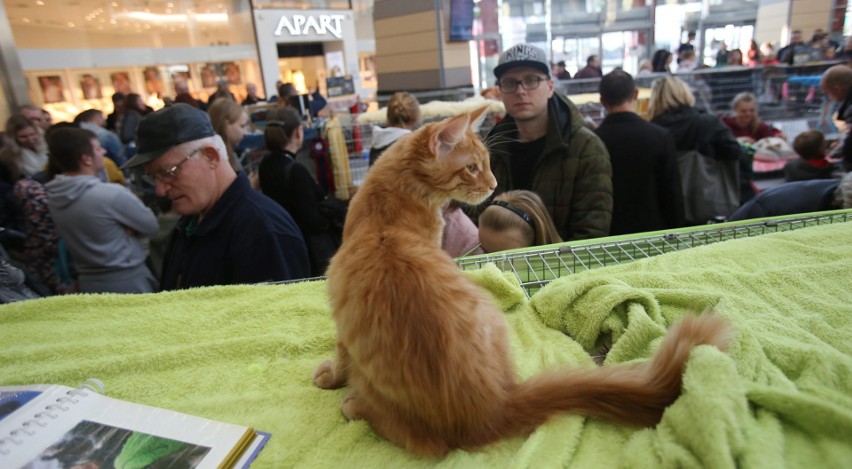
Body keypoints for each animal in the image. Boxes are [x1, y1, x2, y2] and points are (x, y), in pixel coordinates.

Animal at [314, 104, 732, 456]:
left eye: (487, 165)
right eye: (472, 168)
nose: (493, 184)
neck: (387, 218)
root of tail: (492, 409)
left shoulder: (341, 318)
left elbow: (340, 355)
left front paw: (331, 377)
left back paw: (355, 405)